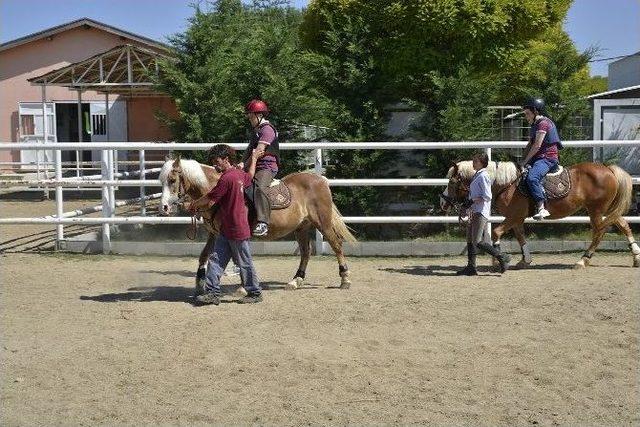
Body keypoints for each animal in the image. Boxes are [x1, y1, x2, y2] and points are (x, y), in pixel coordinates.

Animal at [157, 157, 356, 290]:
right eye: (161, 180)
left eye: (172, 180)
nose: (164, 207)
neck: (218, 190)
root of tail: (320, 180)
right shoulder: (215, 233)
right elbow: (204, 255)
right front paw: (200, 283)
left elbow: (237, 258)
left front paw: (244, 287)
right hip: (302, 227)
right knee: (306, 253)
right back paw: (296, 280)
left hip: (323, 222)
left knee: (336, 245)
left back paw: (345, 279)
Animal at [440, 162, 640, 270]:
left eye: (452, 182)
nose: (443, 202)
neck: (507, 184)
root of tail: (608, 169)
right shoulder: (517, 219)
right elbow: (521, 237)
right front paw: (525, 260)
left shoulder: (514, 216)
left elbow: (497, 233)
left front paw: (499, 260)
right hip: (607, 209)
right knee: (623, 224)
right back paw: (636, 257)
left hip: (596, 210)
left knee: (599, 232)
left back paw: (583, 260)